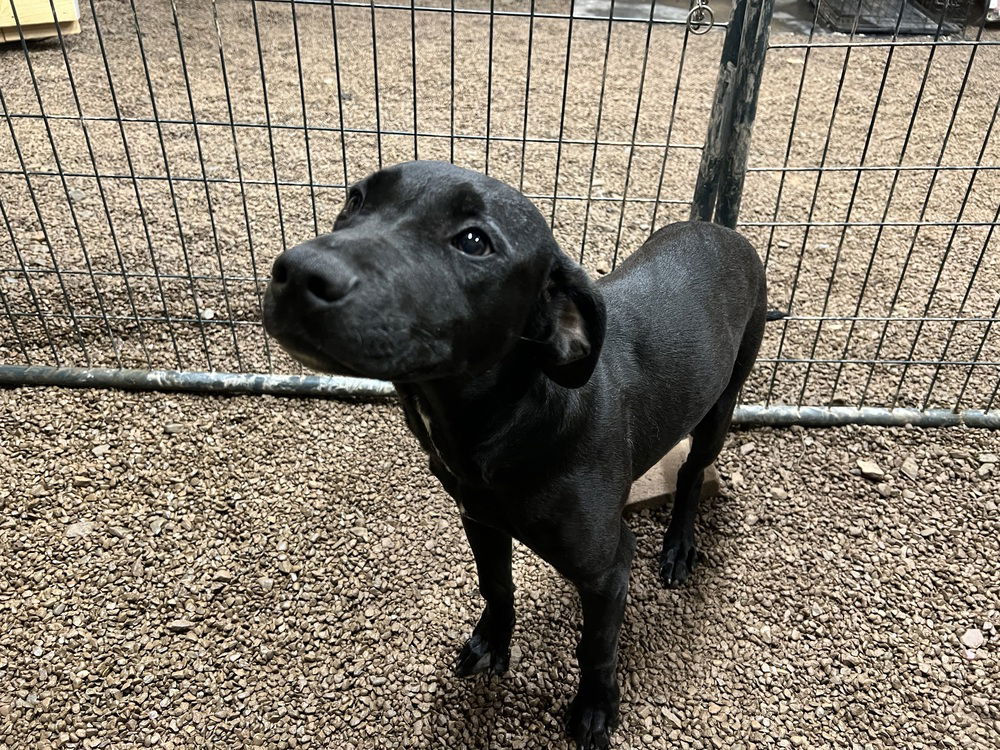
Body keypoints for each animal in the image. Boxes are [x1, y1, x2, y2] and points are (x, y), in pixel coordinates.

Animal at [260, 162, 764, 748]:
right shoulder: (479, 519)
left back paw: (680, 545)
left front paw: (596, 707)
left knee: (691, 473)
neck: (503, 425)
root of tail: (726, 233)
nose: (296, 273)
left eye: (474, 241)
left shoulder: (609, 566)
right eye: (355, 200)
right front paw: (493, 642)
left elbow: (596, 647)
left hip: (721, 407)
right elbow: (496, 585)